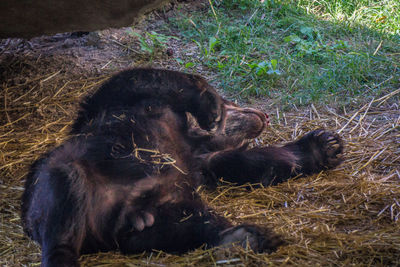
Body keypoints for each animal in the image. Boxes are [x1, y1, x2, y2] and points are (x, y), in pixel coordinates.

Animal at [21, 68, 344, 266]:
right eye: (232, 100)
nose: (264, 115)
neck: (191, 140)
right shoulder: (118, 98)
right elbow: (146, 78)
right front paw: (210, 105)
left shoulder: (203, 162)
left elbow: (247, 163)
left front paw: (322, 148)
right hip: (60, 182)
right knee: (63, 204)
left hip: (155, 221)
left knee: (192, 225)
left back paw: (245, 237)